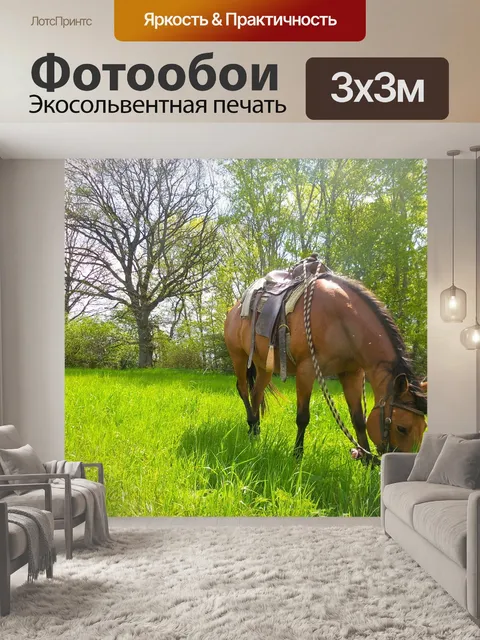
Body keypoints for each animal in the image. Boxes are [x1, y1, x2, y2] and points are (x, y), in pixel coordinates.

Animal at [224, 273, 427, 458]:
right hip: (238, 357)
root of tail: (234, 308)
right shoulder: (306, 370)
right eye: (402, 428)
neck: (340, 321)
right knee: (243, 388)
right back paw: (251, 423)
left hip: (263, 366)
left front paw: (366, 460)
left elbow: (358, 420)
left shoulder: (352, 373)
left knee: (256, 393)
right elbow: (302, 417)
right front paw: (297, 456)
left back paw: (255, 433)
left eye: (424, 426)